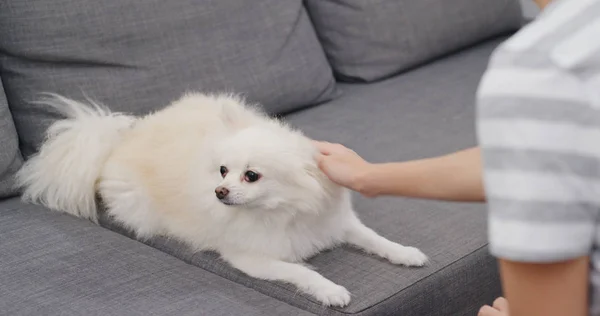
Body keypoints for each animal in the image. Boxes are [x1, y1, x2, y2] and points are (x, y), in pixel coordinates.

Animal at [16, 92, 428, 308]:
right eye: (222, 171)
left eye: (251, 175)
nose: (220, 192)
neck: (283, 211)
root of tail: (119, 140)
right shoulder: (252, 258)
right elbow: (301, 271)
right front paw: (330, 290)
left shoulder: (335, 223)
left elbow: (374, 239)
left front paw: (405, 253)